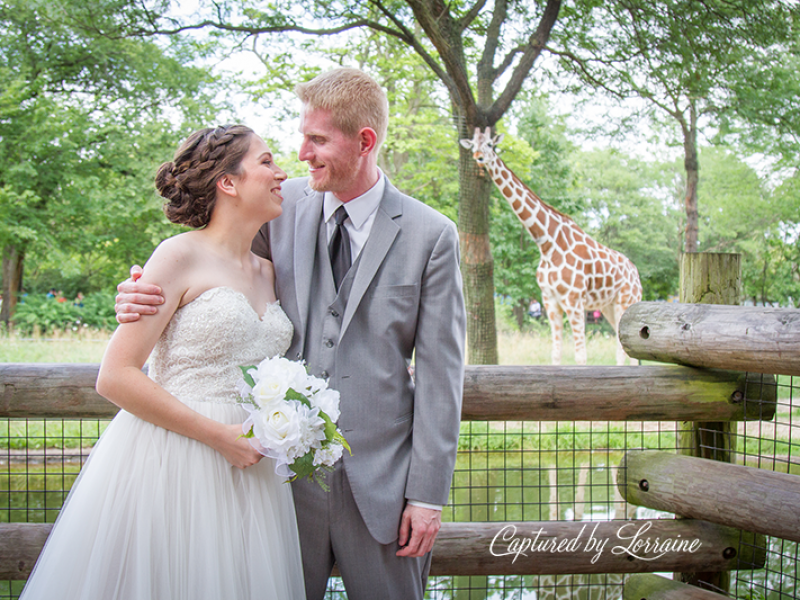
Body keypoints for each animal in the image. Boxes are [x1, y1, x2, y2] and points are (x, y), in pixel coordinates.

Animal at [460, 127, 640, 366]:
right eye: (473, 144)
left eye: (490, 144)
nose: (478, 157)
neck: (548, 243)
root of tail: (636, 272)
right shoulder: (550, 301)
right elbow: (556, 355)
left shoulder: (573, 300)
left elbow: (580, 357)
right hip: (608, 306)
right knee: (623, 351)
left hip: (627, 301)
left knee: (628, 355)